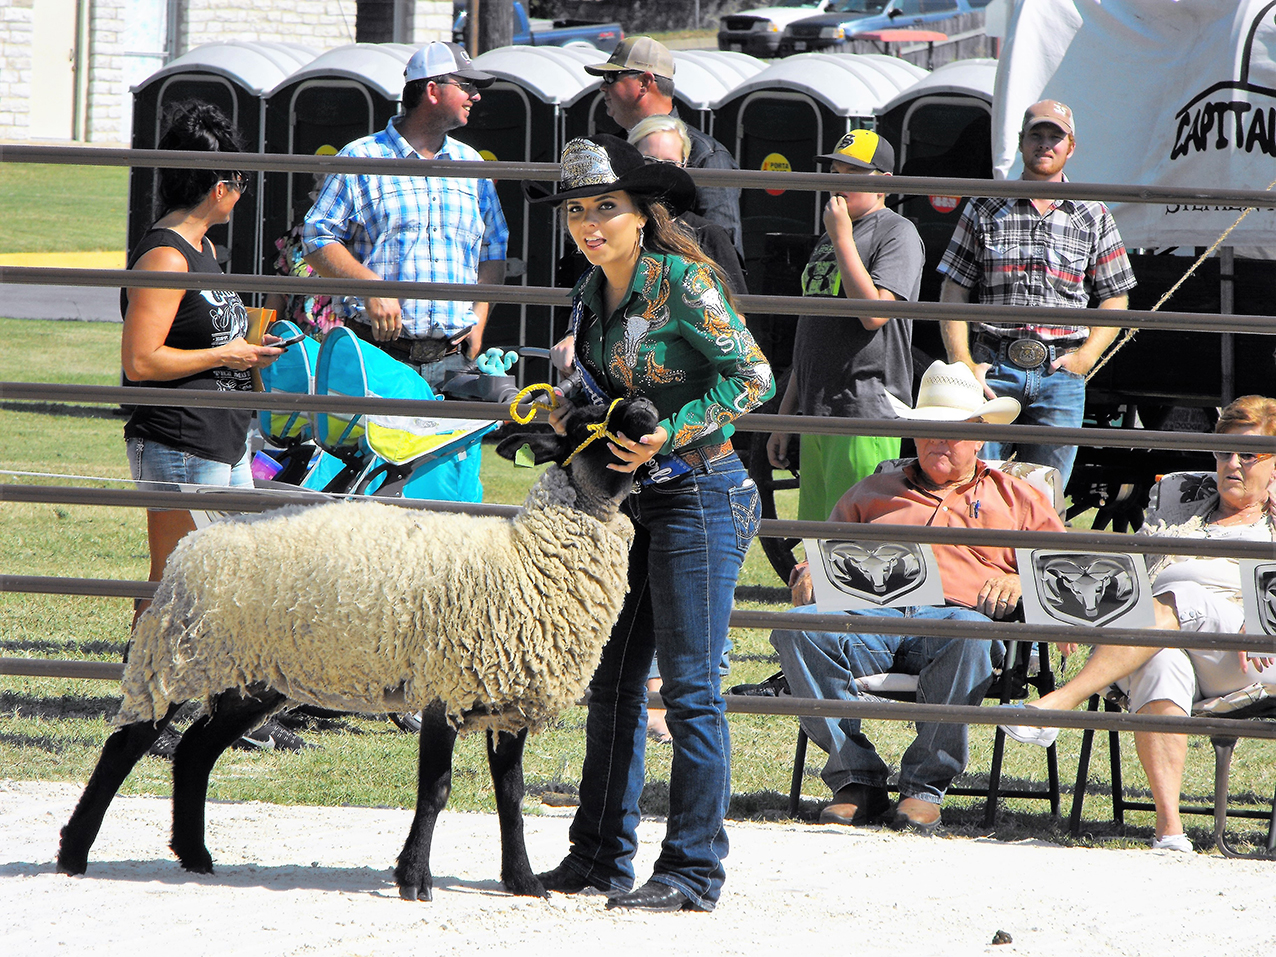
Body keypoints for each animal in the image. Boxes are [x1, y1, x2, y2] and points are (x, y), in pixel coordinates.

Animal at [58, 393, 658, 903]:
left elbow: (510, 797)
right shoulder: (442, 689)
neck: (526, 559)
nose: (650, 410)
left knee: (194, 752)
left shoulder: (508, 700)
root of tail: (192, 543)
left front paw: (524, 881)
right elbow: (436, 790)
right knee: (126, 746)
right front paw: (415, 879)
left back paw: (195, 855)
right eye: (589, 423)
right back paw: (74, 853)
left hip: (253, 680)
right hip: (181, 657)